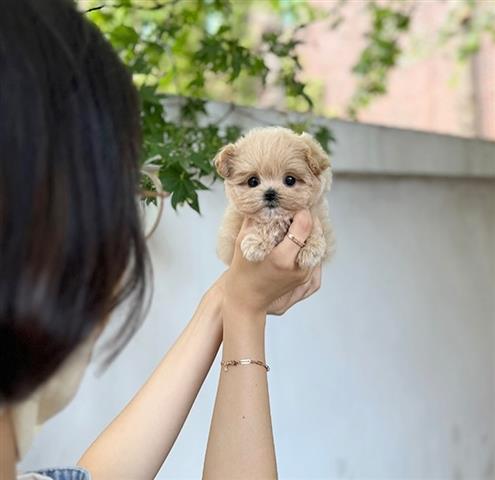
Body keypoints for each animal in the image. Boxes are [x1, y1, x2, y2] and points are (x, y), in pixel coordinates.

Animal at [215, 127, 336, 268]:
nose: (270, 193)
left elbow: (317, 229)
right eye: (253, 181)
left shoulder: (317, 214)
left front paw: (311, 249)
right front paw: (257, 243)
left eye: (290, 180)